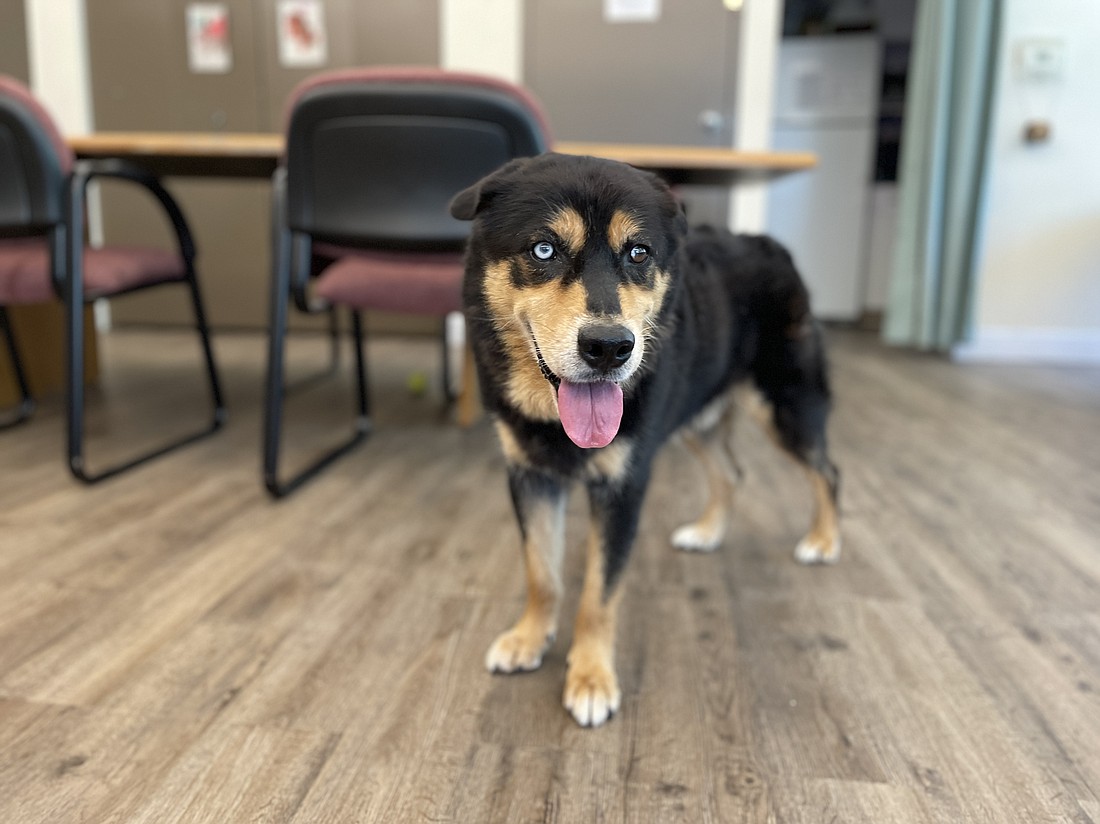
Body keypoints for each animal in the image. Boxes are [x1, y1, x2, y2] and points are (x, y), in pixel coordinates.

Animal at [451, 154, 836, 726]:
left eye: (638, 253)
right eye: (543, 249)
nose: (609, 348)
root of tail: (768, 243)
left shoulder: (623, 487)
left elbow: (598, 595)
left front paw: (591, 677)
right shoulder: (529, 476)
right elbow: (541, 571)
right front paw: (529, 639)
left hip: (787, 406)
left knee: (826, 470)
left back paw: (824, 540)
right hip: (697, 417)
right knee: (731, 472)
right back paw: (708, 532)